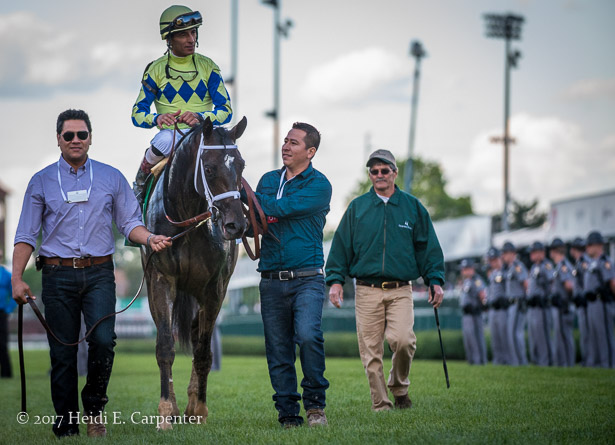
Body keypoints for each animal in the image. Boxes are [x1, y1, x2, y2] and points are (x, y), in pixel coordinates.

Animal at [143, 116, 249, 428]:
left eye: (241, 165)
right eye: (210, 168)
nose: (236, 225)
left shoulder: (215, 287)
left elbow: (203, 349)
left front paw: (199, 408)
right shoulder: (161, 279)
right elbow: (165, 344)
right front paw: (167, 410)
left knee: (194, 332)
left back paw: (191, 403)